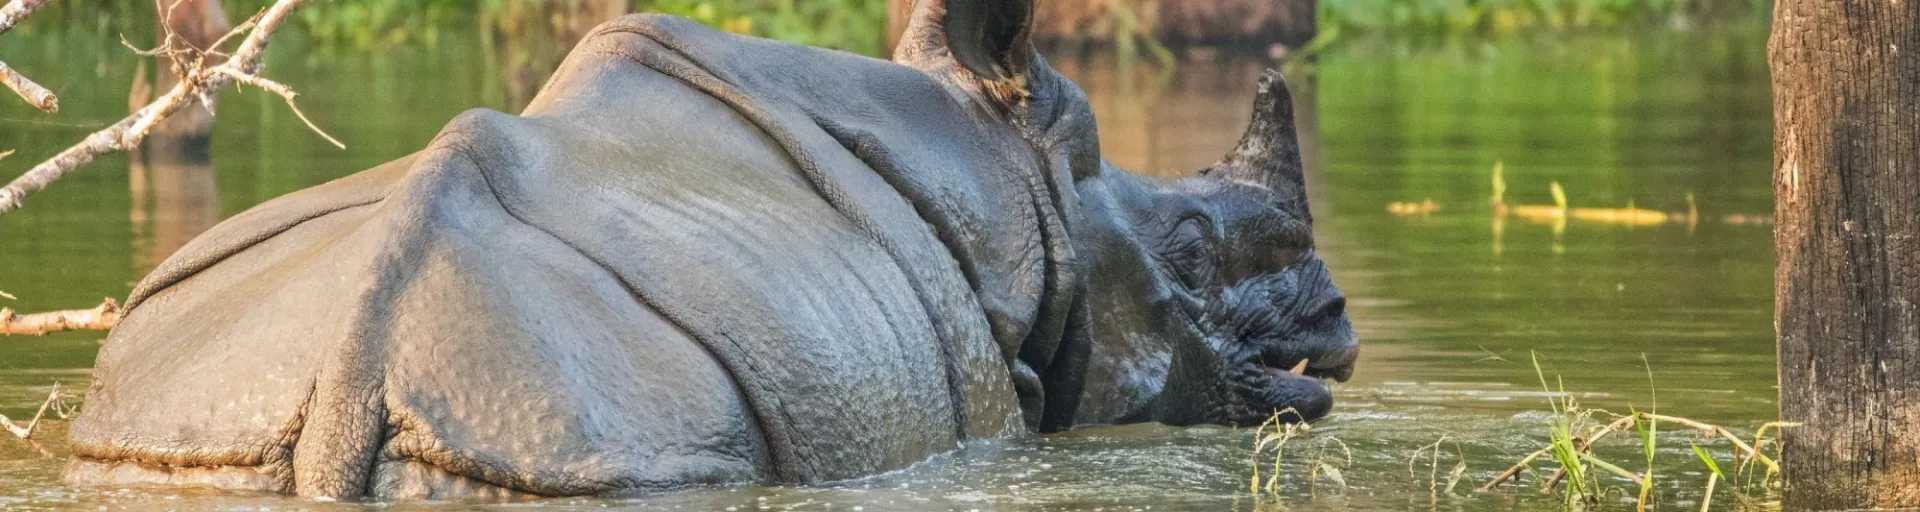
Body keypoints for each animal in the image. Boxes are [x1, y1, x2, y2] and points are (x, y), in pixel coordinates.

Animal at [64, 0, 1357, 500]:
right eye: (1193, 252)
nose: (1335, 317)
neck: (1010, 189)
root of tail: (352, 364)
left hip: (197, 427)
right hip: (587, 426)